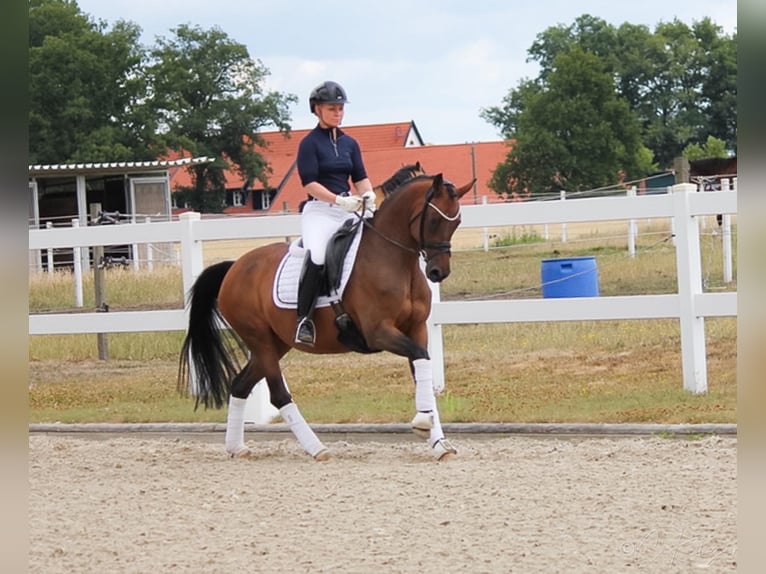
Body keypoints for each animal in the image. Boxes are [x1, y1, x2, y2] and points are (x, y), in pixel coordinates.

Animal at [178, 172, 474, 464]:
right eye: (434, 220)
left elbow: (423, 367)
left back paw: (237, 447)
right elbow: (420, 357)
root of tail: (234, 268)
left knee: (240, 385)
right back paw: (316, 448)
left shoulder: (416, 329)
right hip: (259, 339)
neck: (395, 260)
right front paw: (423, 424)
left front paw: (438, 442)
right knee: (279, 394)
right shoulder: (379, 332)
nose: (437, 272)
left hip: (275, 344)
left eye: (457, 222)